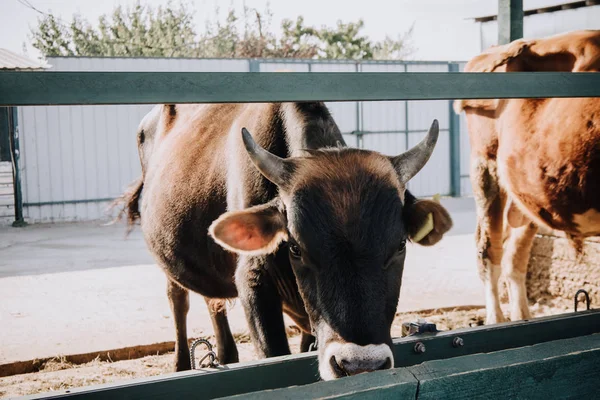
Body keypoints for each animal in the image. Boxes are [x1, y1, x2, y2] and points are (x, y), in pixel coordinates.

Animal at [112, 101, 452, 380]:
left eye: (400, 245)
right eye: (295, 248)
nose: (360, 364)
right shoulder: (253, 282)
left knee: (213, 302)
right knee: (178, 300)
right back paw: (182, 364)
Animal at [454, 31, 600, 324]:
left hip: (528, 193)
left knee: (515, 257)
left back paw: (522, 318)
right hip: (485, 167)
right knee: (489, 251)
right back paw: (496, 321)